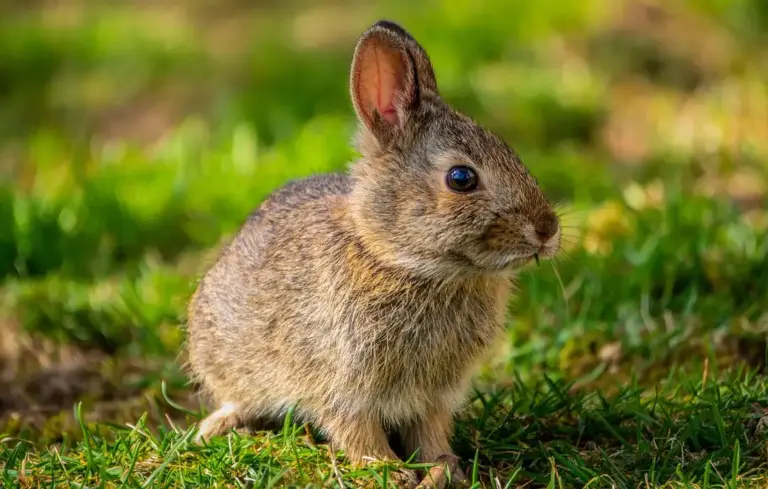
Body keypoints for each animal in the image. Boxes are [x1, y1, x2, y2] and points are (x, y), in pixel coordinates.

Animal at [185, 19, 561, 488]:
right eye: (461, 178)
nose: (548, 230)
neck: (400, 261)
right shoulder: (341, 384)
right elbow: (355, 430)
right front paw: (387, 470)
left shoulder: (433, 395)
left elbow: (431, 432)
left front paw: (444, 469)